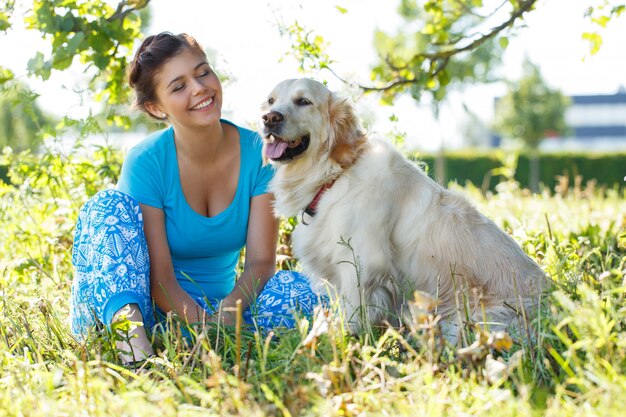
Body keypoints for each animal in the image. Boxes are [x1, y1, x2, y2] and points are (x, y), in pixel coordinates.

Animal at [260, 77, 544, 332]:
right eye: (271, 100)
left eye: (303, 101)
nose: (269, 118)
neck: (335, 176)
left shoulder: (361, 264)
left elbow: (352, 317)